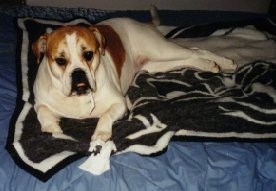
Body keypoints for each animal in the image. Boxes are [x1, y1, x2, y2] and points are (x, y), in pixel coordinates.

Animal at [31, 17, 236, 142]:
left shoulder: (119, 104)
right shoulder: (40, 103)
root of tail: (142, 23)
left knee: (197, 51)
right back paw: (211, 65)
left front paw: (101, 132)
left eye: (88, 54)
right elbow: (42, 112)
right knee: (190, 57)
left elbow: (105, 115)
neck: (78, 97)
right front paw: (51, 127)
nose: (78, 73)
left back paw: (223, 62)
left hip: (161, 49)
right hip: (156, 64)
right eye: (60, 61)